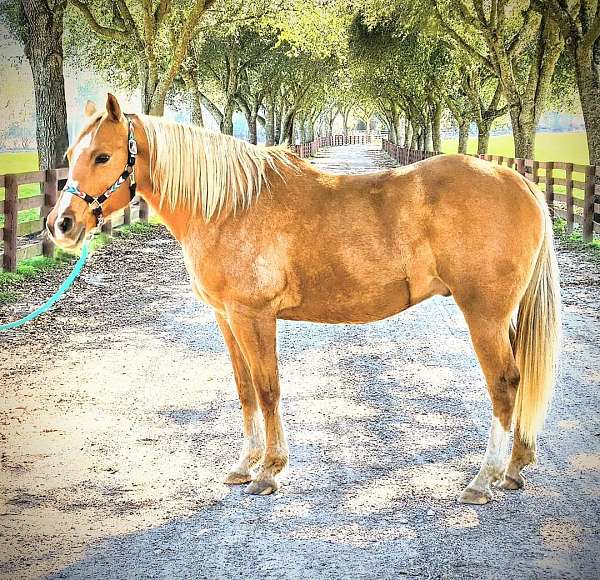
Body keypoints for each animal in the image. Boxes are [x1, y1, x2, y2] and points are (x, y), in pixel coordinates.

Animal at [49, 95, 560, 502]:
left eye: (103, 156)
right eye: (72, 155)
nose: (61, 224)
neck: (230, 206)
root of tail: (519, 183)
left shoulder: (254, 316)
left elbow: (268, 389)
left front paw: (269, 471)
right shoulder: (227, 318)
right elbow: (245, 390)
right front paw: (244, 465)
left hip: (484, 315)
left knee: (504, 383)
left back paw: (483, 479)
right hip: (505, 317)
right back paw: (514, 467)